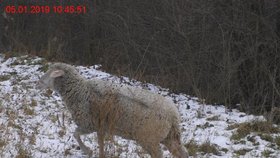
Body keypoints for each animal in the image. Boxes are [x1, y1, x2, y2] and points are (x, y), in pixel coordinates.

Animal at [37, 62, 189, 157]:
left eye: (51, 73)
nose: (38, 82)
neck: (80, 91)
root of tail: (173, 115)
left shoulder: (88, 124)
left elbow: (75, 134)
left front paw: (87, 151)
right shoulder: (100, 127)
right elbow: (100, 144)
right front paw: (97, 153)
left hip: (149, 139)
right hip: (170, 138)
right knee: (182, 153)